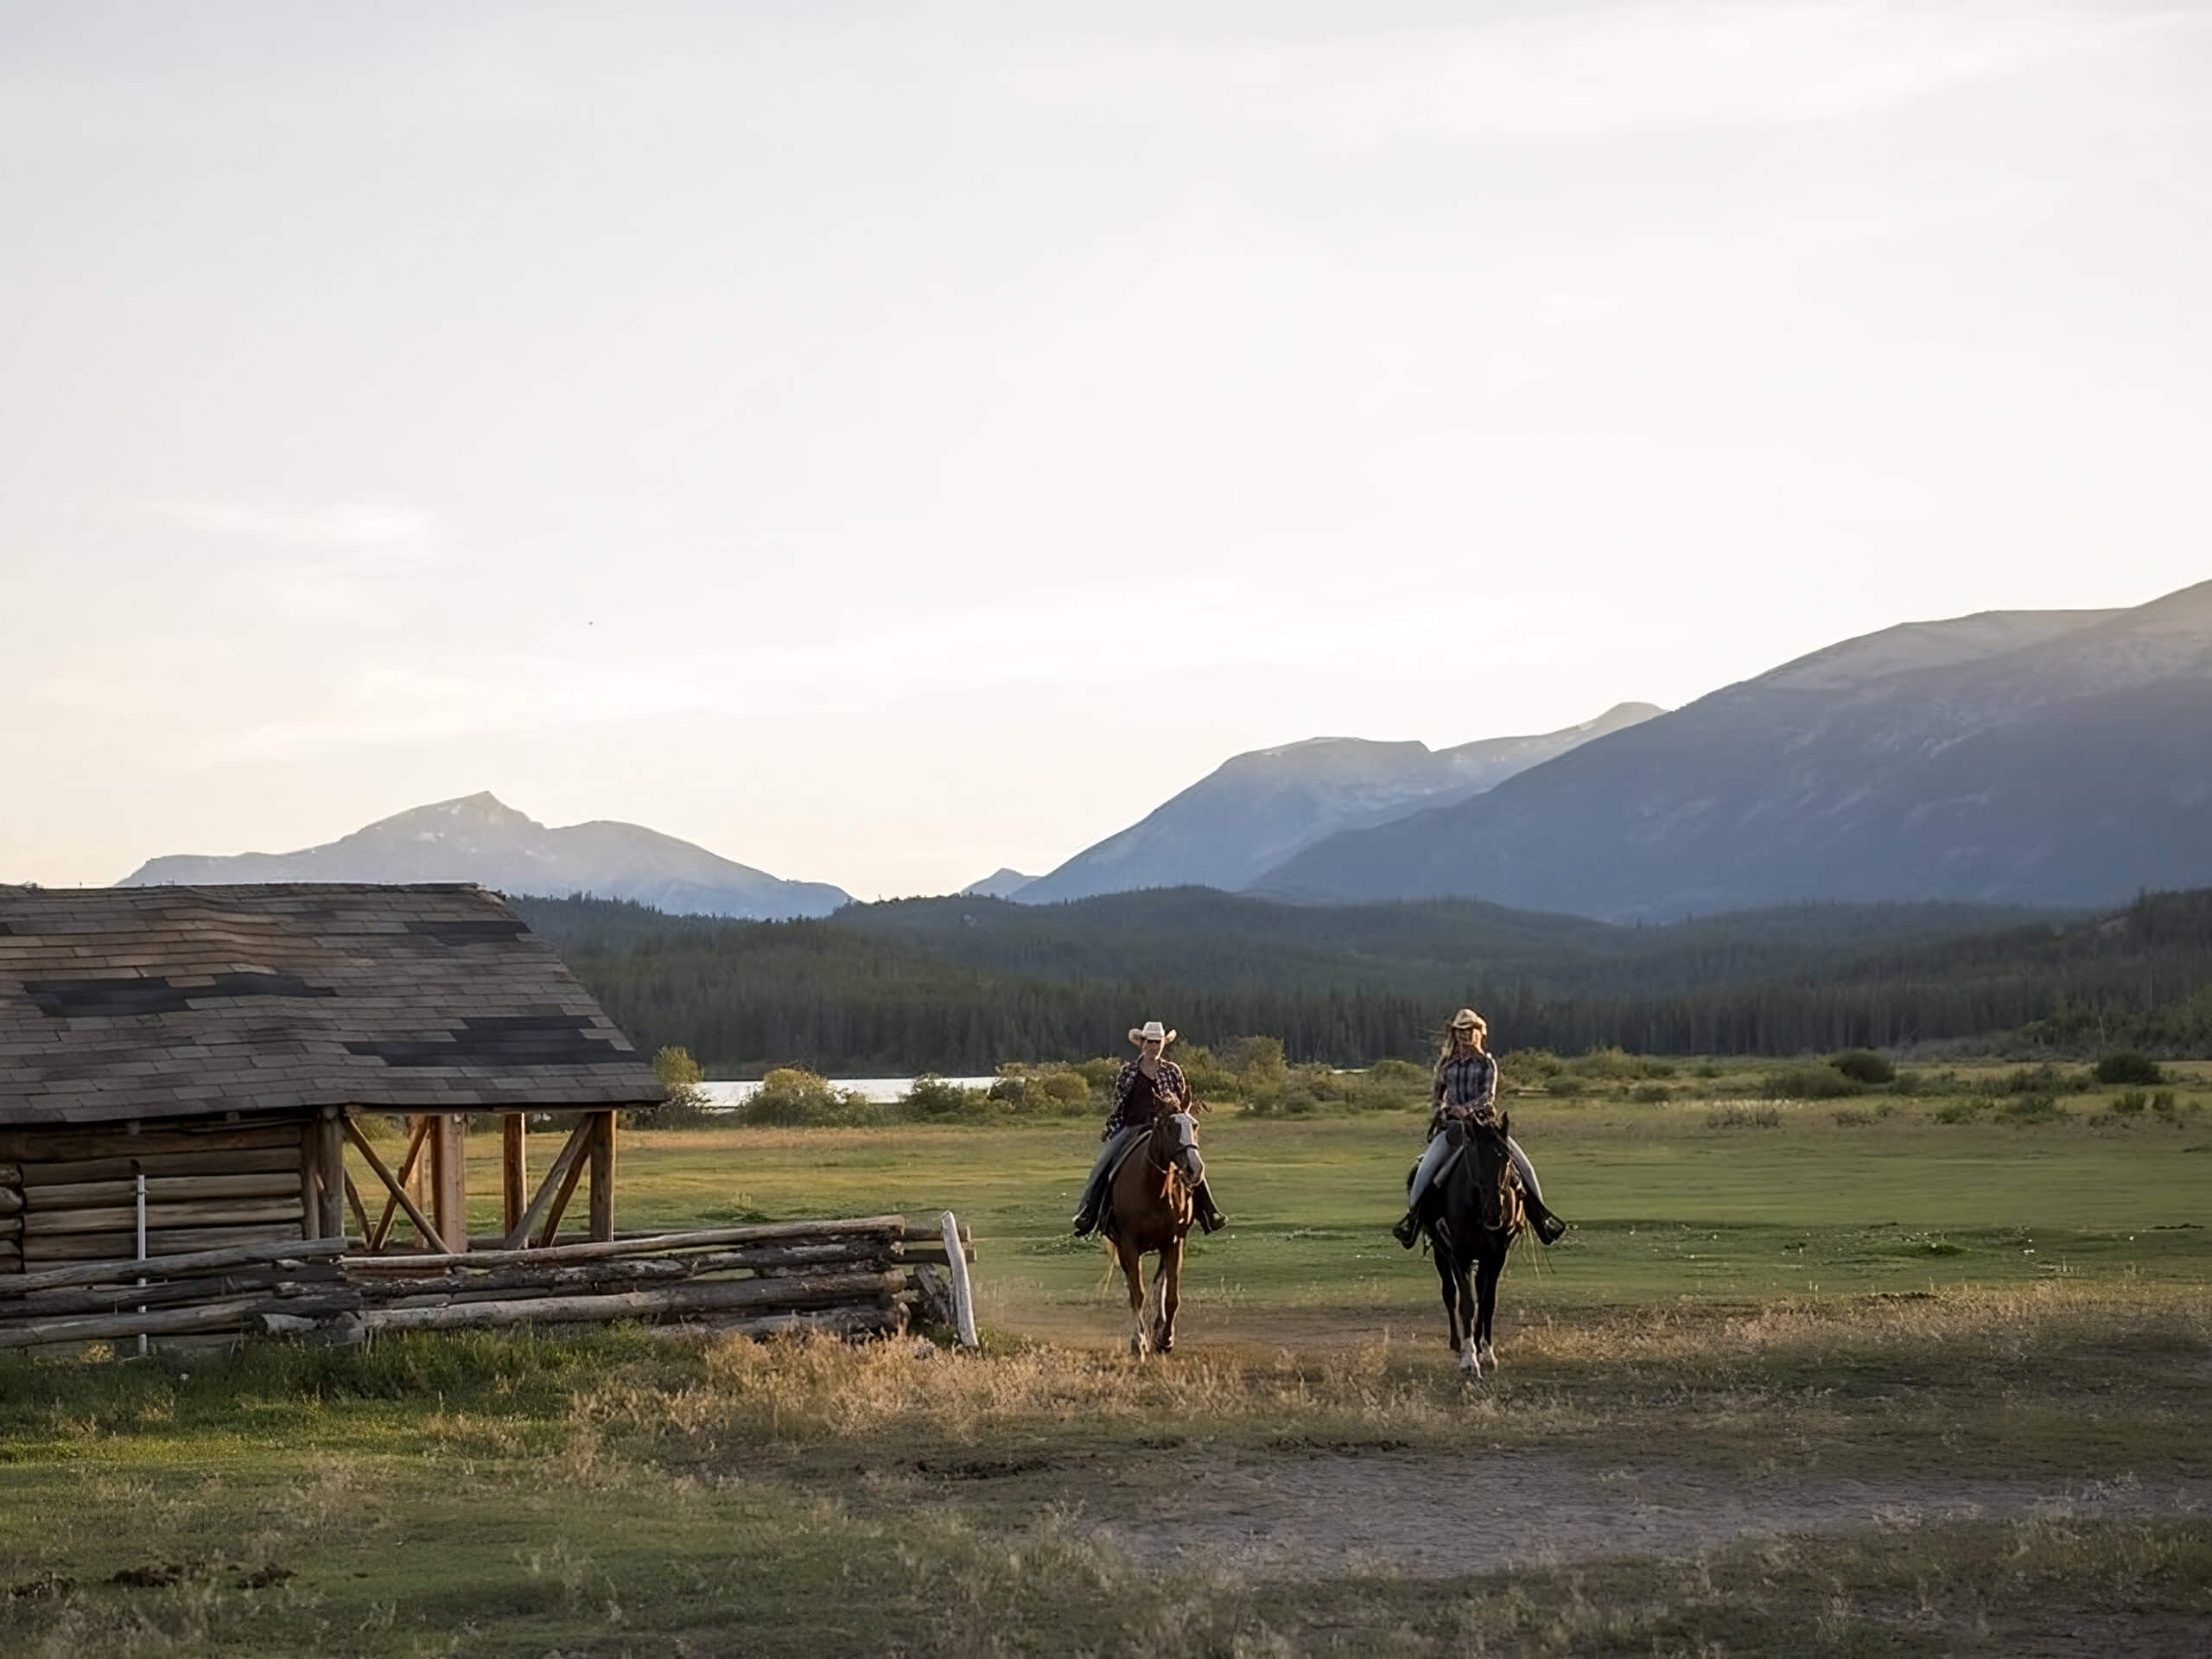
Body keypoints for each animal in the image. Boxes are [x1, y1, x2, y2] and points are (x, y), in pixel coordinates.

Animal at [1106, 1096, 1211, 1353]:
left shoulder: (1174, 1241)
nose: (1195, 1169)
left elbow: (1171, 1296)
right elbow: (1137, 1294)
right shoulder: (1129, 1245)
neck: (1153, 1188)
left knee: (1159, 1284)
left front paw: (1165, 1338)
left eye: (1195, 1125)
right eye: (1170, 1127)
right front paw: (1139, 1341)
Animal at [1415, 1119, 1522, 1389]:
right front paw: (1469, 1361)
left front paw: (1487, 1352)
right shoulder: (1458, 1255)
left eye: (1507, 1158)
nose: (1495, 1213)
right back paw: (1457, 1343)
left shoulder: (1496, 1257)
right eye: (1475, 1158)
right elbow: (1466, 1303)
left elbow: (1487, 1302)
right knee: (1449, 1293)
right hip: (1441, 1253)